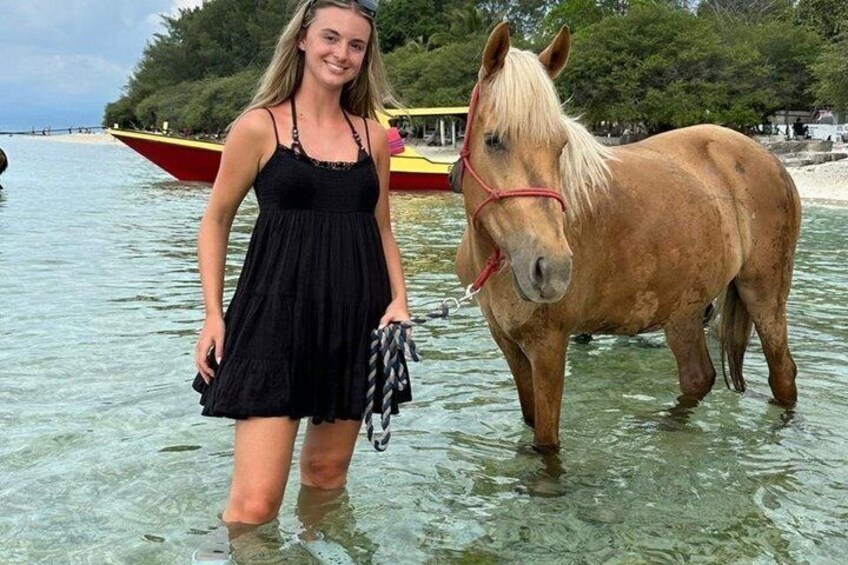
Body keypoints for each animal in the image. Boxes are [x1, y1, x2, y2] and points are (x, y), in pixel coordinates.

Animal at [452, 23, 802, 453]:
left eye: (560, 146)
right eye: (493, 140)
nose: (551, 270)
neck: (496, 258)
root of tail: (768, 159)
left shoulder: (548, 346)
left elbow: (547, 442)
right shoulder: (509, 344)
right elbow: (530, 422)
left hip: (764, 295)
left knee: (782, 373)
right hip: (683, 308)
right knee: (698, 378)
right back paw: (662, 426)